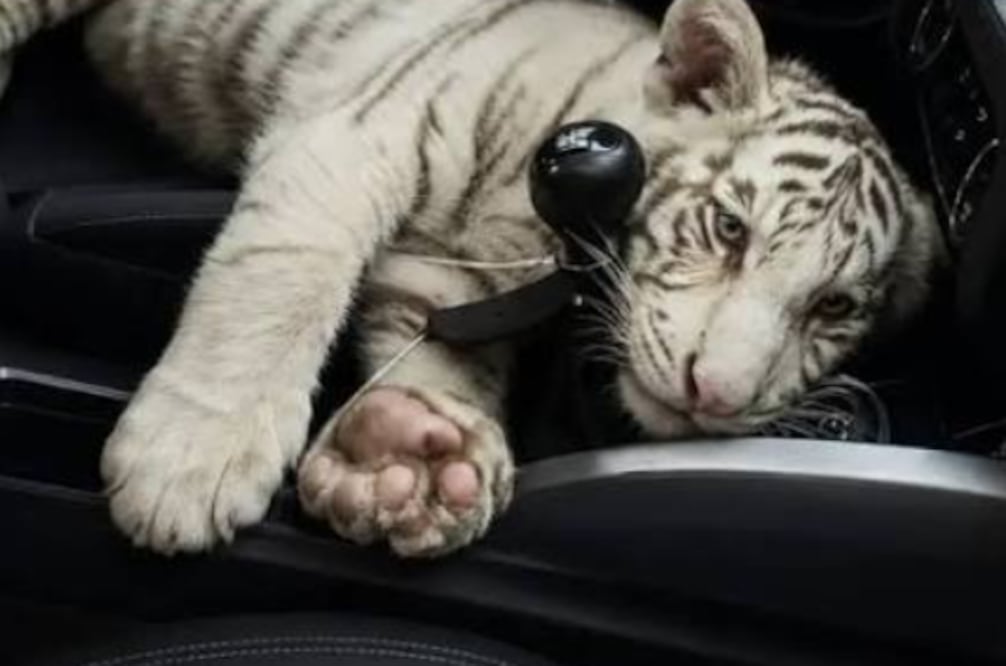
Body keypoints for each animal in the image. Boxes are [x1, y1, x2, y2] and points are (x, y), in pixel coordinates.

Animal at [0, 0, 944, 557]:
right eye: (728, 229)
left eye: (832, 306)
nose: (715, 394)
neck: (538, 231)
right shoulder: (356, 139)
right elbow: (282, 279)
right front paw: (192, 460)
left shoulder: (450, 274)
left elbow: (442, 358)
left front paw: (404, 459)